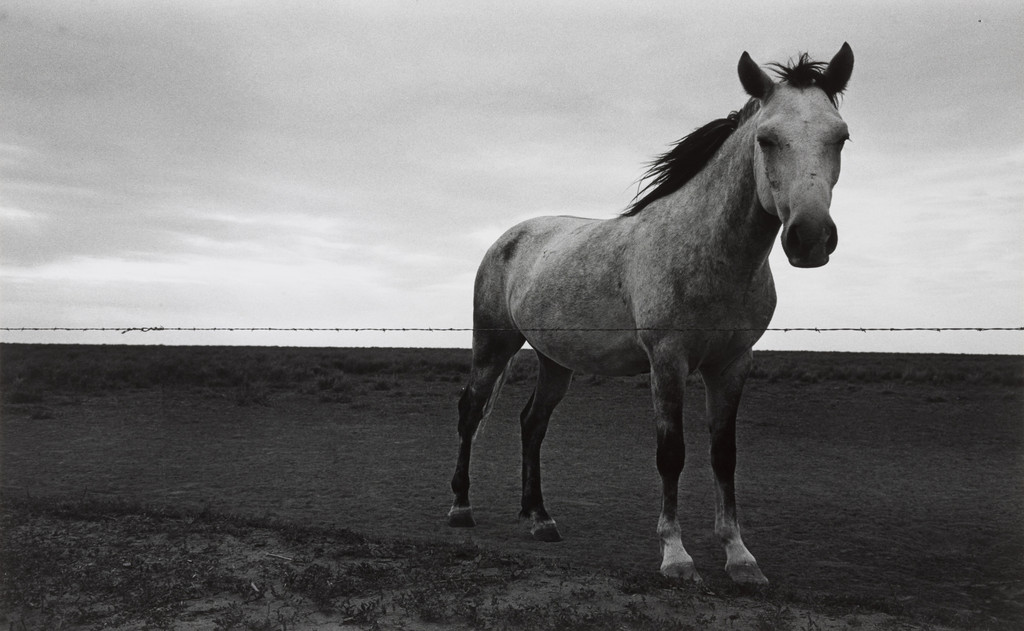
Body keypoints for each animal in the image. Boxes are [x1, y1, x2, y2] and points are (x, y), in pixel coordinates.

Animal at [447, 43, 854, 585]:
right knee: (471, 411)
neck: (712, 255)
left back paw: (539, 518)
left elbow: (724, 455)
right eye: (767, 139)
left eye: (840, 137)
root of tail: (508, 238)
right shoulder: (668, 361)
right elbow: (672, 454)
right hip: (494, 345)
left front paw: (740, 557)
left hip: (555, 360)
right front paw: (676, 557)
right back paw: (461, 507)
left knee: (532, 423)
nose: (810, 238)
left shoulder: (733, 364)